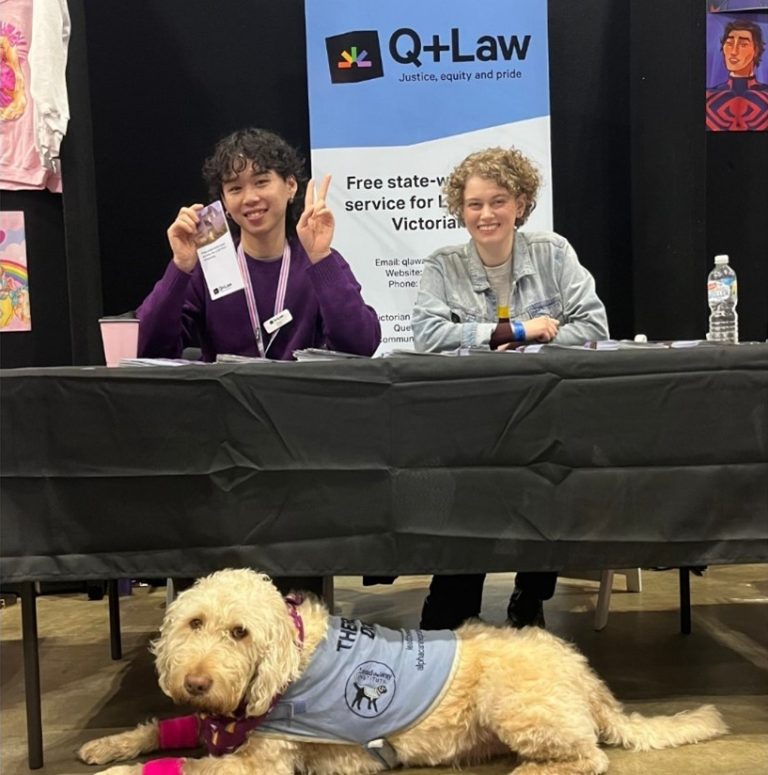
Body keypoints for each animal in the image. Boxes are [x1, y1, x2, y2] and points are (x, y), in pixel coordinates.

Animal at [76, 568, 728, 775]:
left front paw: (123, 772)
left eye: (240, 633)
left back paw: (533, 772)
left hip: (516, 707)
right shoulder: (218, 724)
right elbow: (164, 730)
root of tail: (589, 678)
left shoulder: (256, 765)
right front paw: (109, 746)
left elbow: (182, 766)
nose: (195, 684)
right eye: (195, 623)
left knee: (589, 756)